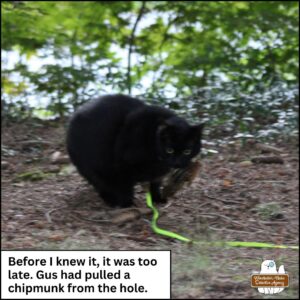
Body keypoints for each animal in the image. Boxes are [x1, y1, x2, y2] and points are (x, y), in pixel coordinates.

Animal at [67, 95, 204, 207]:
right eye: (169, 150)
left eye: (187, 151)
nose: (177, 163)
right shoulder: (124, 164)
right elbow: (126, 186)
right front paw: (127, 203)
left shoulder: (157, 173)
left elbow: (155, 184)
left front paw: (157, 199)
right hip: (90, 164)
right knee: (99, 182)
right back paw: (110, 199)